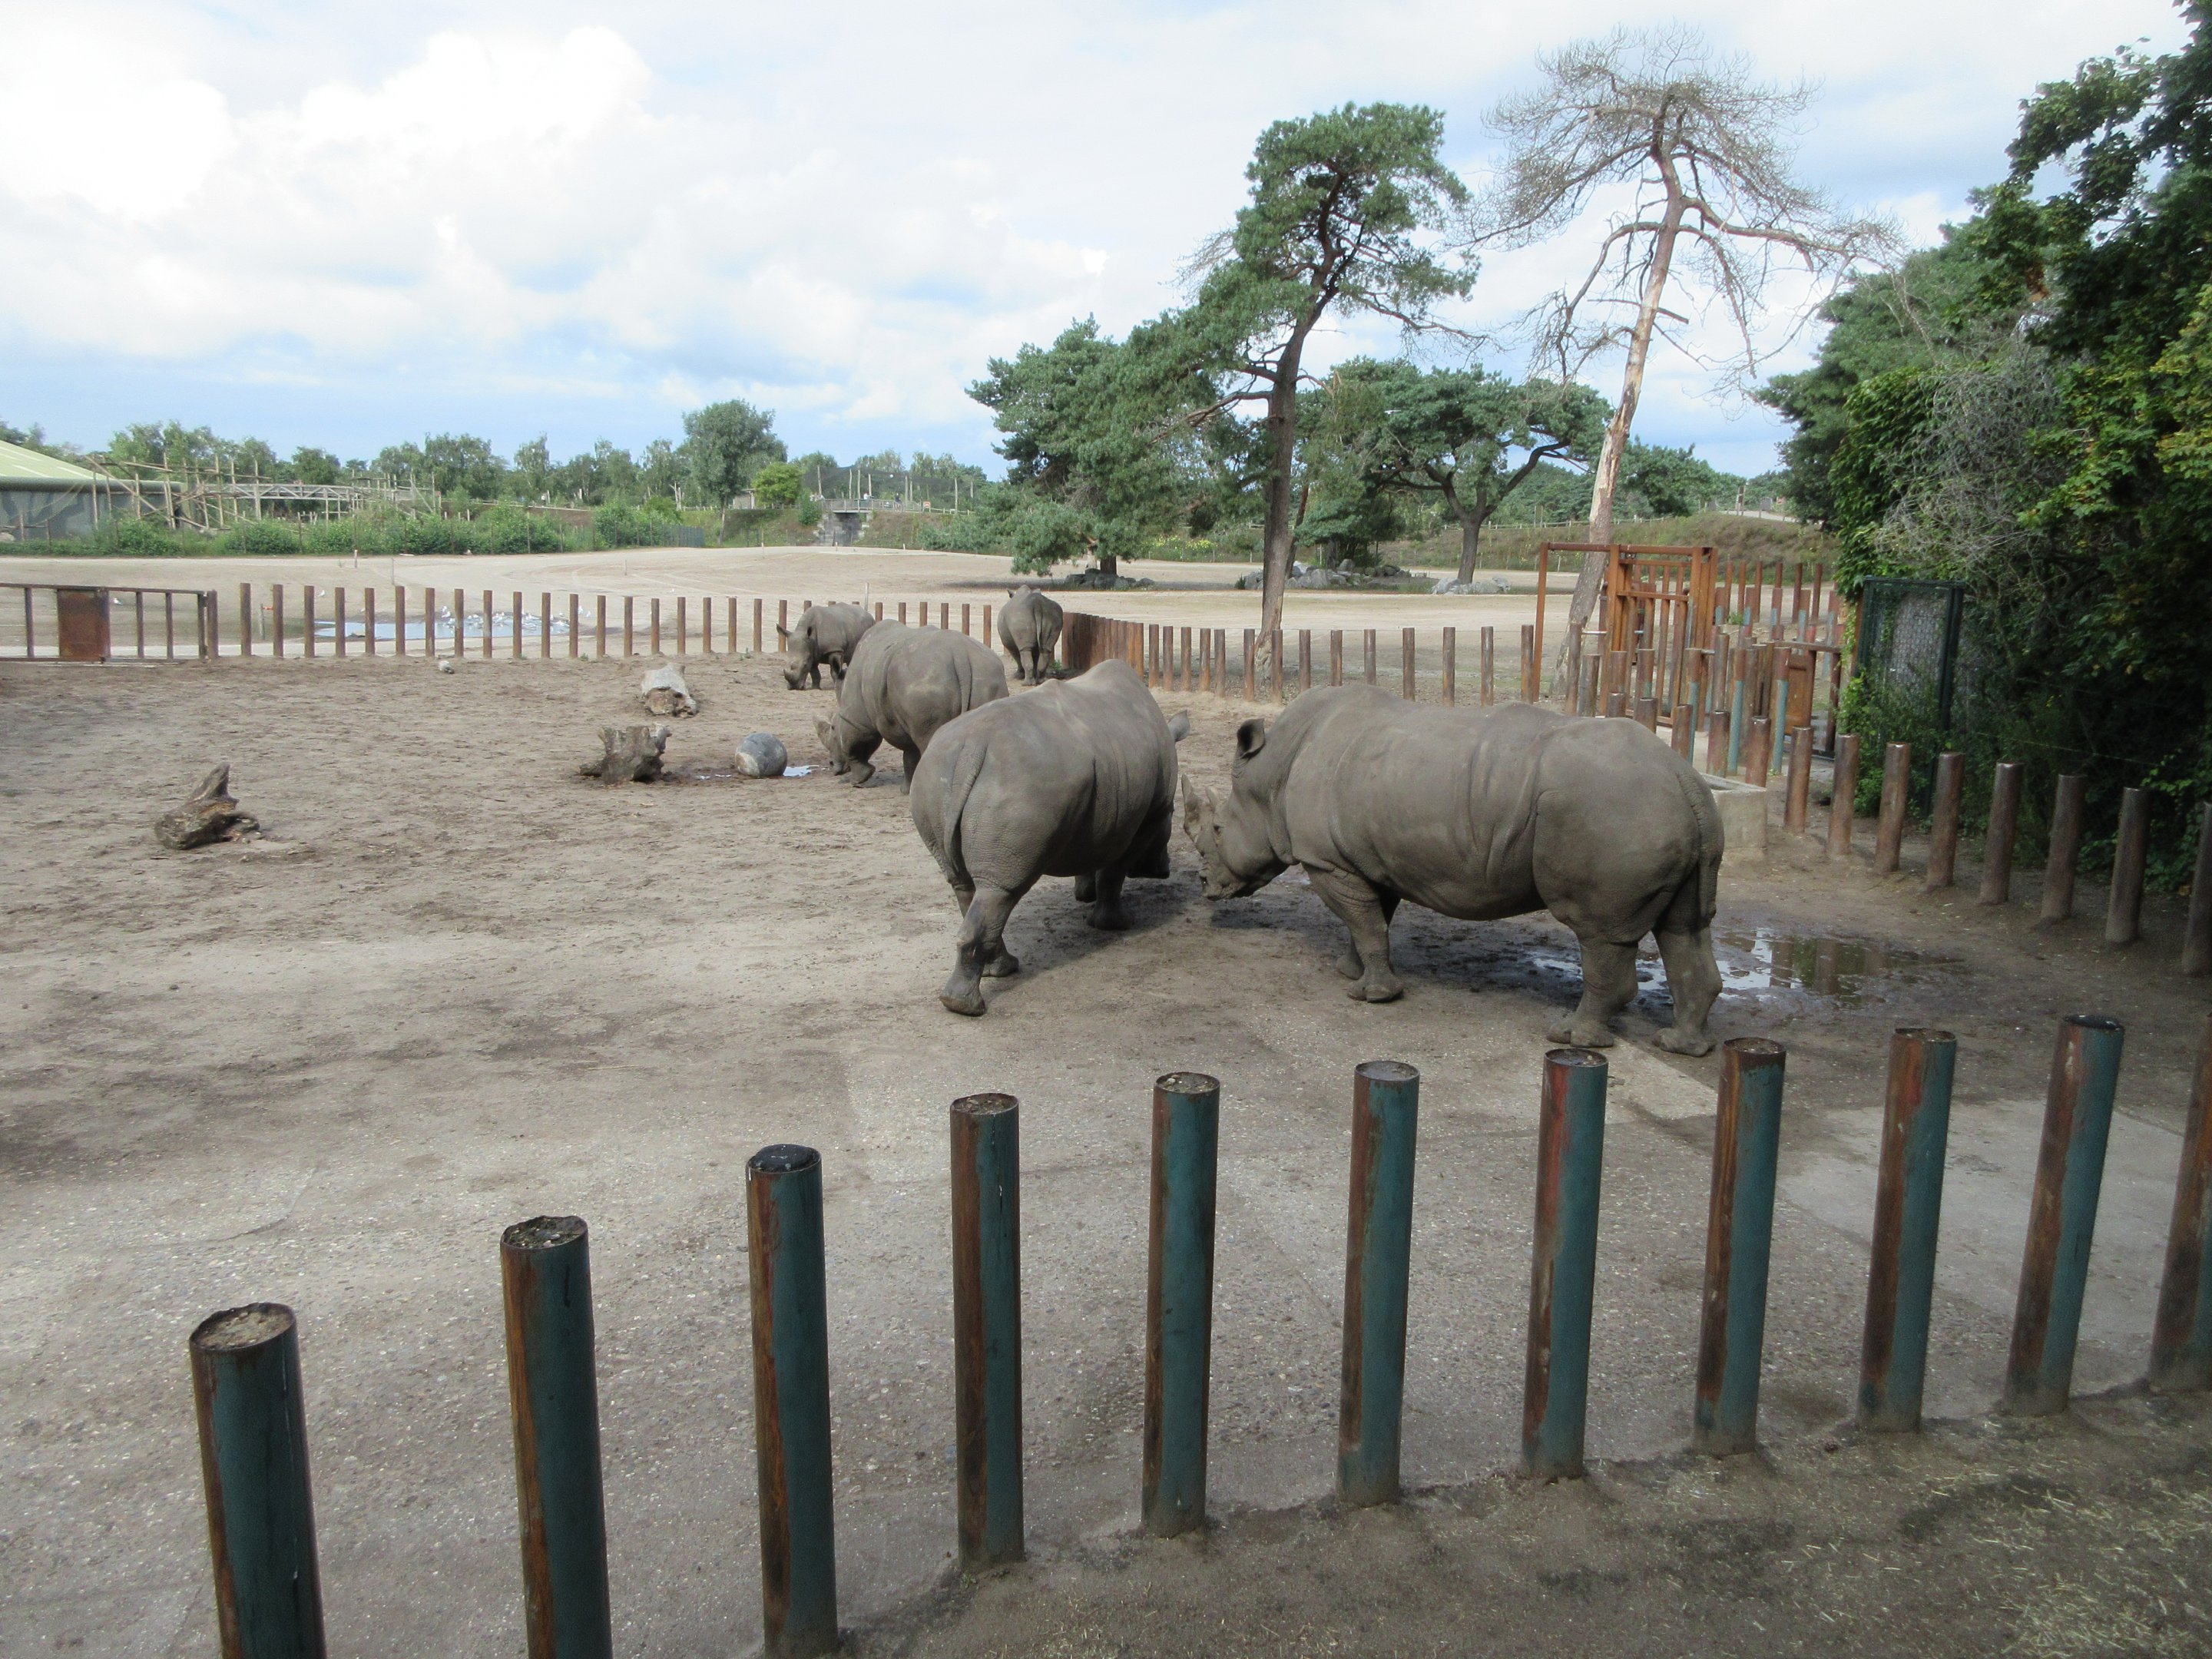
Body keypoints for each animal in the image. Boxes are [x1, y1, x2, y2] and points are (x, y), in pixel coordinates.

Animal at [815, 622, 1008, 790]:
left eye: (833, 728)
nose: (833, 766)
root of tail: (961, 657)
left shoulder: (856, 718)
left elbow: (856, 742)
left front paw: (857, 781)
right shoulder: (906, 718)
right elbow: (909, 755)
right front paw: (906, 790)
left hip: (924, 682)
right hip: (986, 677)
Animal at [911, 659, 1188, 1016]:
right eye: (1174, 818)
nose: (1163, 870)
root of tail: (973, 748)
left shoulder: (1102, 805)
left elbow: (1094, 855)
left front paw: (1085, 895)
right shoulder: (1148, 816)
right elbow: (1114, 871)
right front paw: (1116, 924)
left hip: (937, 775)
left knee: (967, 885)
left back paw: (998, 972)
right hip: (1019, 783)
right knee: (1001, 889)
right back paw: (967, 1007)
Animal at [1182, 688, 1724, 1054]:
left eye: (1217, 829)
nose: (1204, 884)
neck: (1272, 774)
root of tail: (1685, 777)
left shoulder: (1328, 860)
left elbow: (1365, 922)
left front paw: (1370, 996)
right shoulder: (1370, 858)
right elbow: (1371, 921)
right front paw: (1349, 970)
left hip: (1613, 812)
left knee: (1599, 932)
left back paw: (1572, 1038)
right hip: (1662, 812)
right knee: (1685, 928)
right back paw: (1681, 1044)